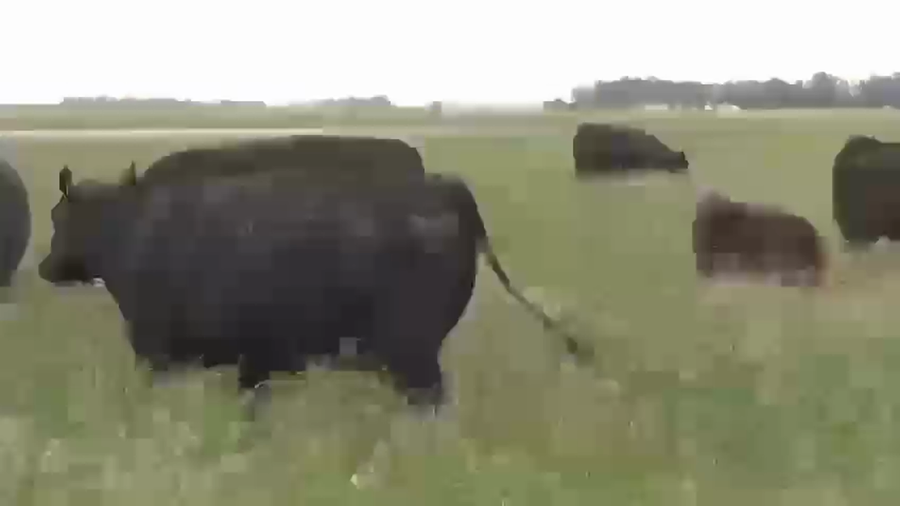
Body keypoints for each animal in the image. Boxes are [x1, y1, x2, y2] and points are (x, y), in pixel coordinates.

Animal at [38, 163, 591, 413]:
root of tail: (443, 184)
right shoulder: (253, 362)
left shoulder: (156, 354)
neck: (132, 230)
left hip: (412, 354)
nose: (45, 265)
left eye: (57, 217)